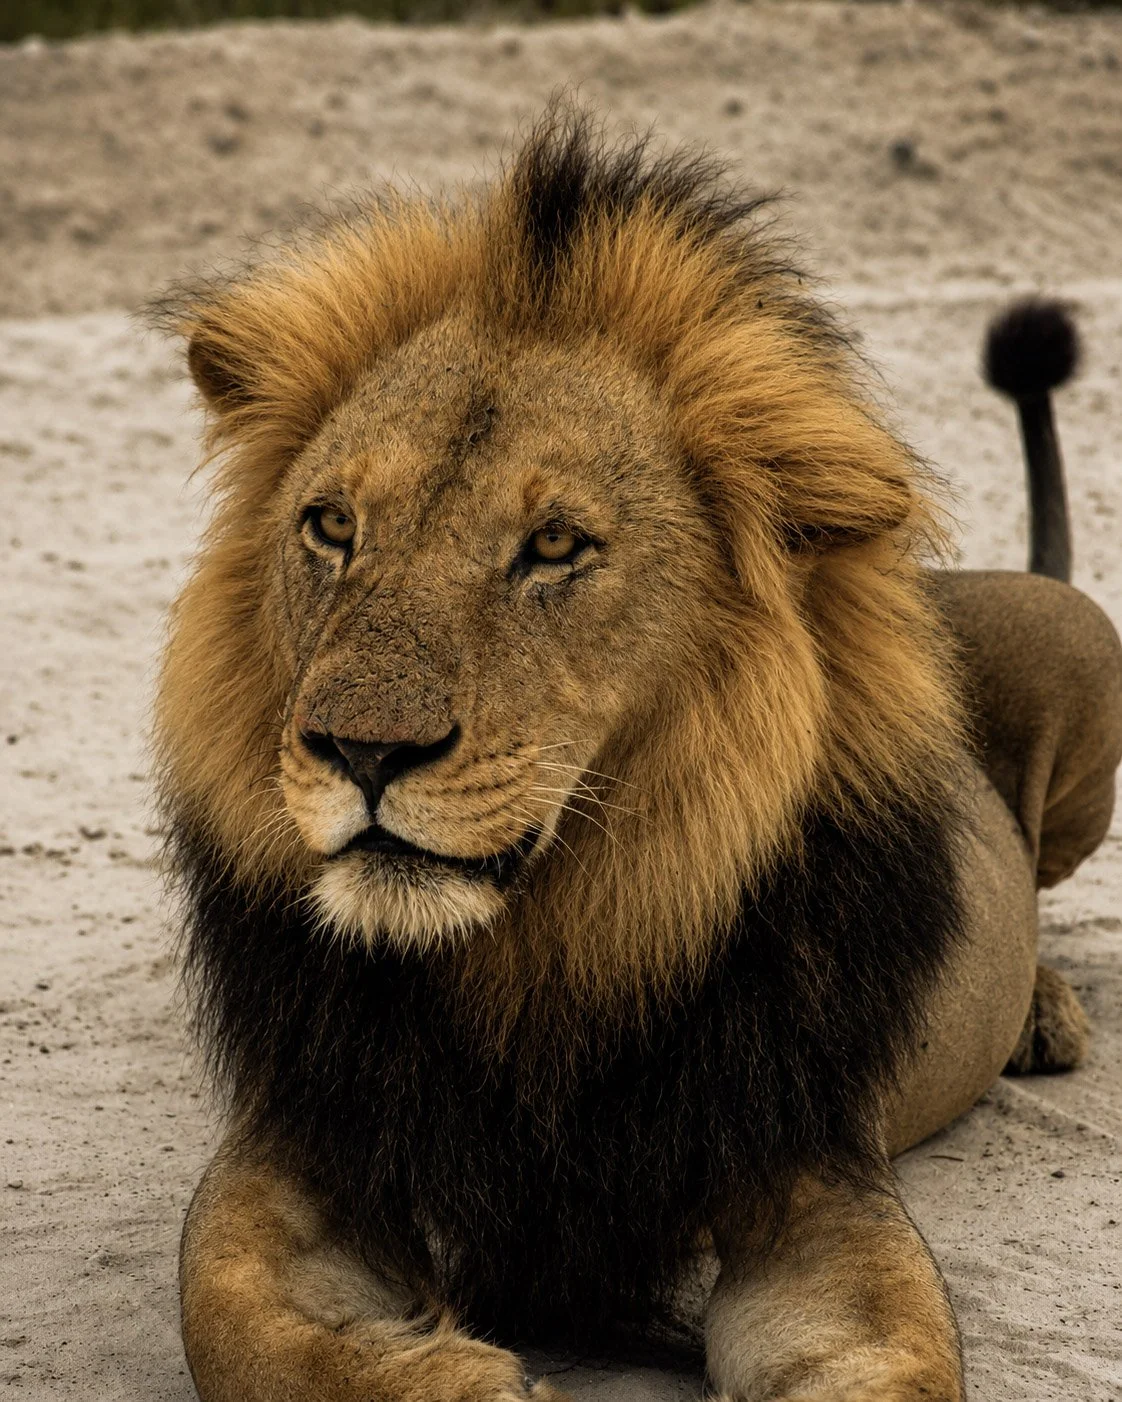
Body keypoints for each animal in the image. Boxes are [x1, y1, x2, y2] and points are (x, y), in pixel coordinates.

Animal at [153, 112, 1122, 1402]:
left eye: (556, 546)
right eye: (332, 526)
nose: (358, 747)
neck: (541, 956)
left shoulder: (809, 1183)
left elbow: (891, 1358)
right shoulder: (304, 1143)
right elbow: (234, 1317)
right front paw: (462, 1376)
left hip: (1083, 650)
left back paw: (1044, 1012)